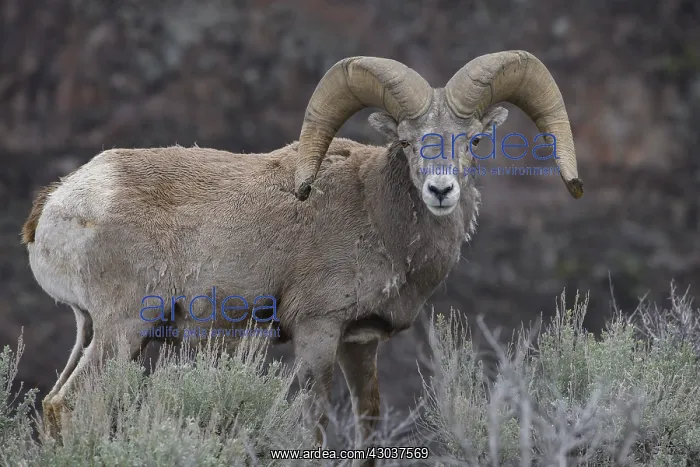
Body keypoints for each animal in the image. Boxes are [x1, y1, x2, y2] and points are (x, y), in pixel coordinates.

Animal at [22, 50, 583, 460]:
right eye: (406, 140)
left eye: (474, 140)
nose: (441, 190)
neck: (376, 216)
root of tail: (58, 201)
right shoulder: (317, 332)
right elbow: (313, 425)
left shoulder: (359, 343)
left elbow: (368, 426)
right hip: (123, 329)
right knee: (72, 405)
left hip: (91, 330)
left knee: (53, 403)